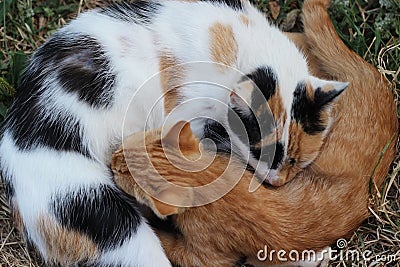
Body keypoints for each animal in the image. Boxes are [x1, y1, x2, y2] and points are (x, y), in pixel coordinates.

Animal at [0, 0, 346, 266]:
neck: (238, 46)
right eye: (261, 151)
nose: (274, 183)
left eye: (294, 161)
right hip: (96, 207)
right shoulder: (185, 112)